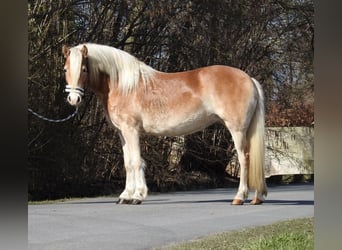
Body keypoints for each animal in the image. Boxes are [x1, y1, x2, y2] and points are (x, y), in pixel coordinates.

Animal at [62, 43, 268, 205]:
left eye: (84, 69)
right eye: (65, 69)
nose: (73, 99)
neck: (122, 85)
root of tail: (249, 79)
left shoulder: (131, 130)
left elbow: (136, 161)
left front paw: (137, 196)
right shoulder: (122, 133)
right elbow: (128, 163)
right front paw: (125, 196)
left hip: (237, 130)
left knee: (245, 159)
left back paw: (239, 197)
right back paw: (257, 197)